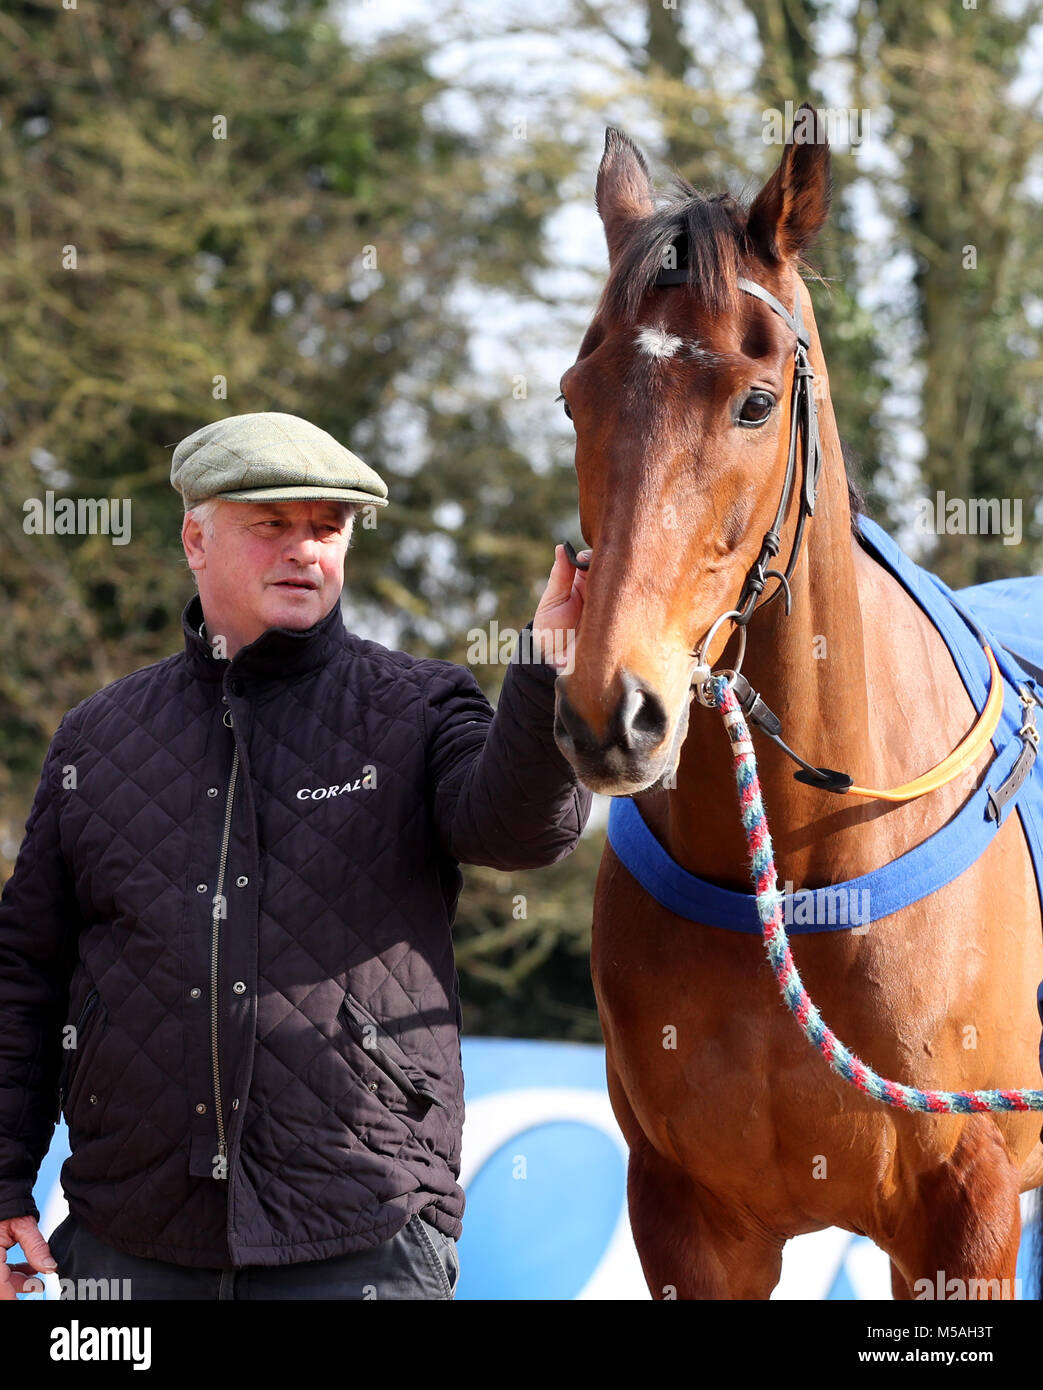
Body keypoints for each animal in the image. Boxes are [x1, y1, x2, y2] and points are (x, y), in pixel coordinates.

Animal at [556, 111, 1043, 1301]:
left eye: (755, 401)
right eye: (574, 398)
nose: (612, 711)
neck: (802, 863)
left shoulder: (966, 1211)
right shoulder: (689, 1220)